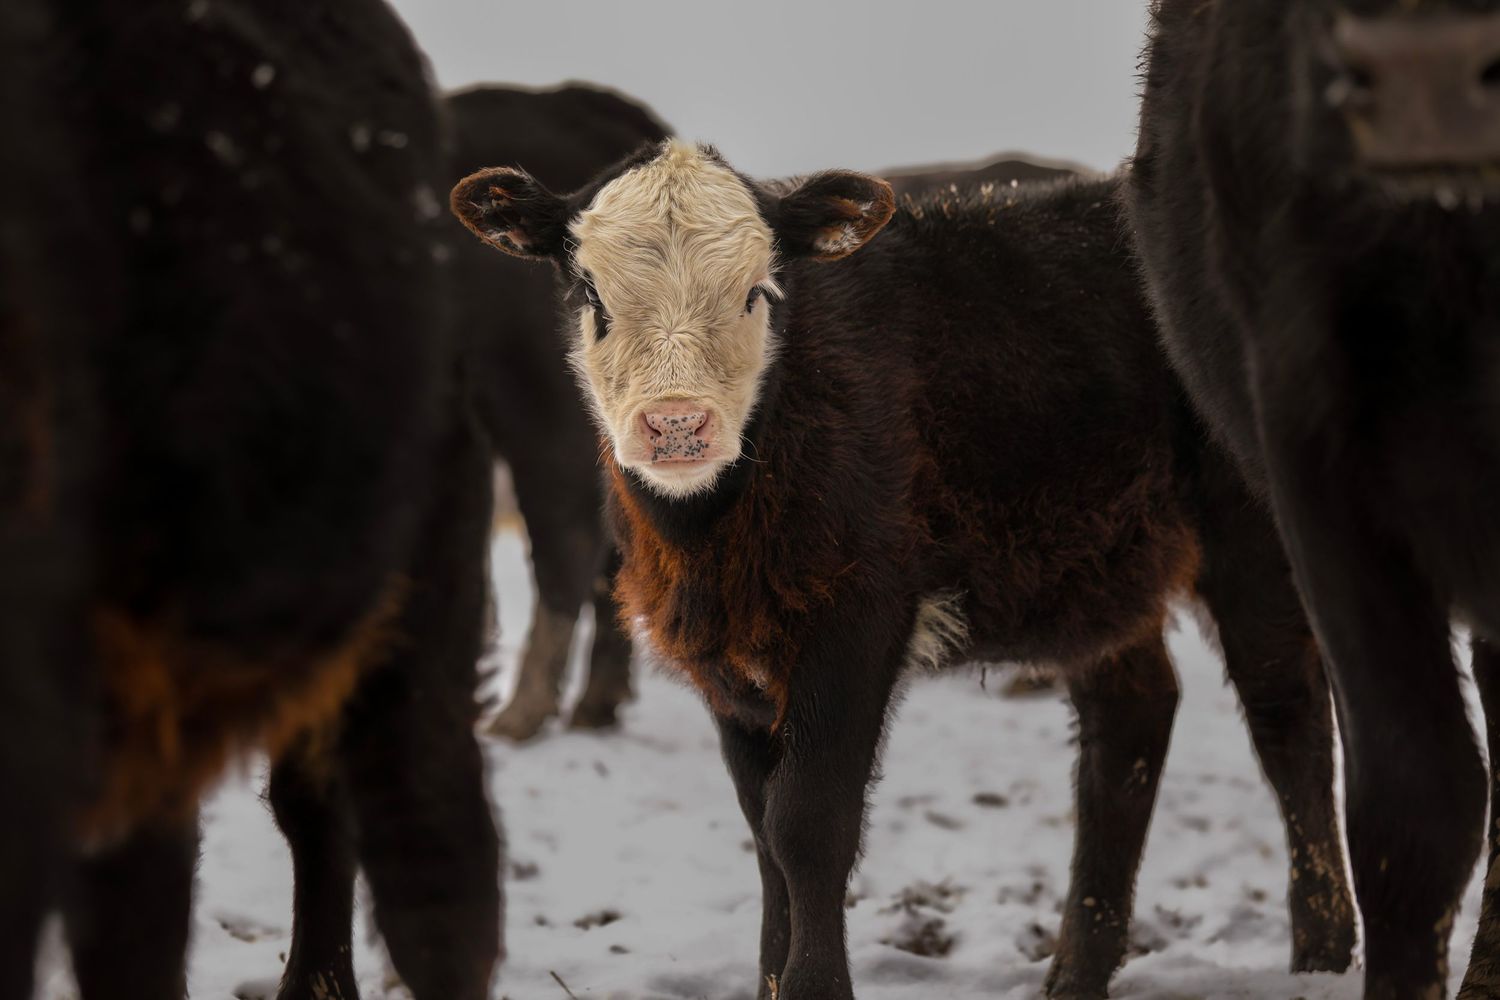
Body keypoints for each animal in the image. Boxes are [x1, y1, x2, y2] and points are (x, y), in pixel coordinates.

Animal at [450, 140, 1355, 999]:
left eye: (758, 293)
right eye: (591, 294)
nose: (677, 426)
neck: (714, 537)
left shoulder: (859, 617)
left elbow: (808, 824)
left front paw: (815, 989)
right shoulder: (726, 657)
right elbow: (762, 829)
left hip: (1253, 538)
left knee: (1289, 718)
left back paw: (1320, 955)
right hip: (1096, 564)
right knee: (1129, 722)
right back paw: (1077, 972)